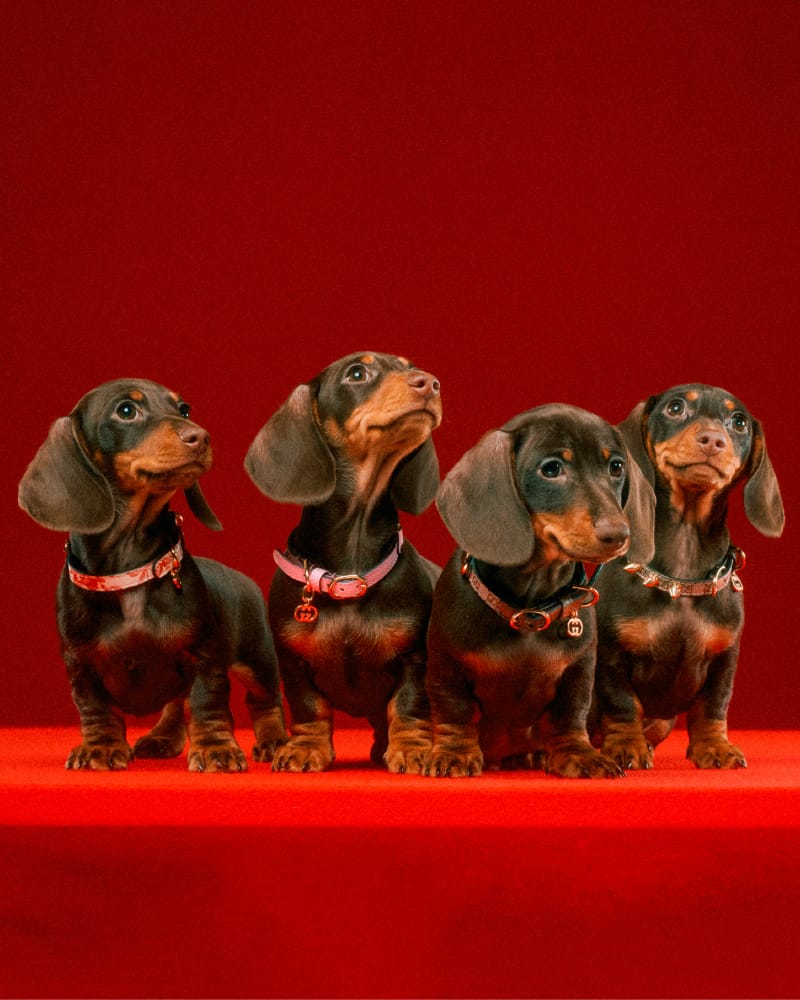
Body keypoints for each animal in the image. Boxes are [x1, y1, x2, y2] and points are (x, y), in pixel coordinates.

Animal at [18, 378, 287, 771]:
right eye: (126, 411)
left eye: (184, 408)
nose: (201, 437)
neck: (129, 569)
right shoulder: (80, 665)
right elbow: (96, 710)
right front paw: (100, 747)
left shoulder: (203, 655)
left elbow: (206, 703)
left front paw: (216, 749)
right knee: (176, 704)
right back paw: (162, 738)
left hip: (257, 657)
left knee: (262, 700)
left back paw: (274, 740)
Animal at [244, 351, 442, 773]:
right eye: (356, 373)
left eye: (408, 365)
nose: (431, 383)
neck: (350, 572)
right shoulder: (294, 663)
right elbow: (309, 709)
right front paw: (305, 748)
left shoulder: (415, 658)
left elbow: (407, 707)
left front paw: (412, 749)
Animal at [424, 404, 655, 778]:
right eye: (551, 469)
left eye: (616, 467)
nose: (619, 534)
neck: (528, 609)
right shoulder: (447, 664)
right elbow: (454, 711)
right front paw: (454, 753)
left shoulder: (579, 670)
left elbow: (569, 715)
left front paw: (579, 754)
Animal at [592, 383, 784, 769]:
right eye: (676, 408)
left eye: (739, 422)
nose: (713, 440)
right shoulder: (610, 653)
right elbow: (622, 704)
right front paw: (626, 746)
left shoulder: (725, 657)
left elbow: (713, 707)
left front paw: (714, 747)